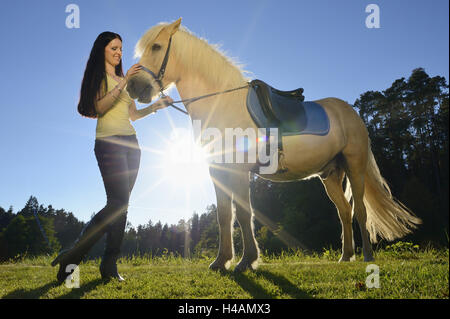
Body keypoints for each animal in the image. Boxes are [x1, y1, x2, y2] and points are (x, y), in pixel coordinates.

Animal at [125, 18, 422, 272]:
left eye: (156, 46)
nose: (132, 87)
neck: (224, 105)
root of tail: (350, 112)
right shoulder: (217, 170)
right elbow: (224, 215)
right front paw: (221, 261)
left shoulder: (238, 171)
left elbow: (244, 214)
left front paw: (247, 261)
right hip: (329, 175)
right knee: (344, 212)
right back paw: (345, 256)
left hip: (355, 166)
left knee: (359, 209)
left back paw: (367, 256)